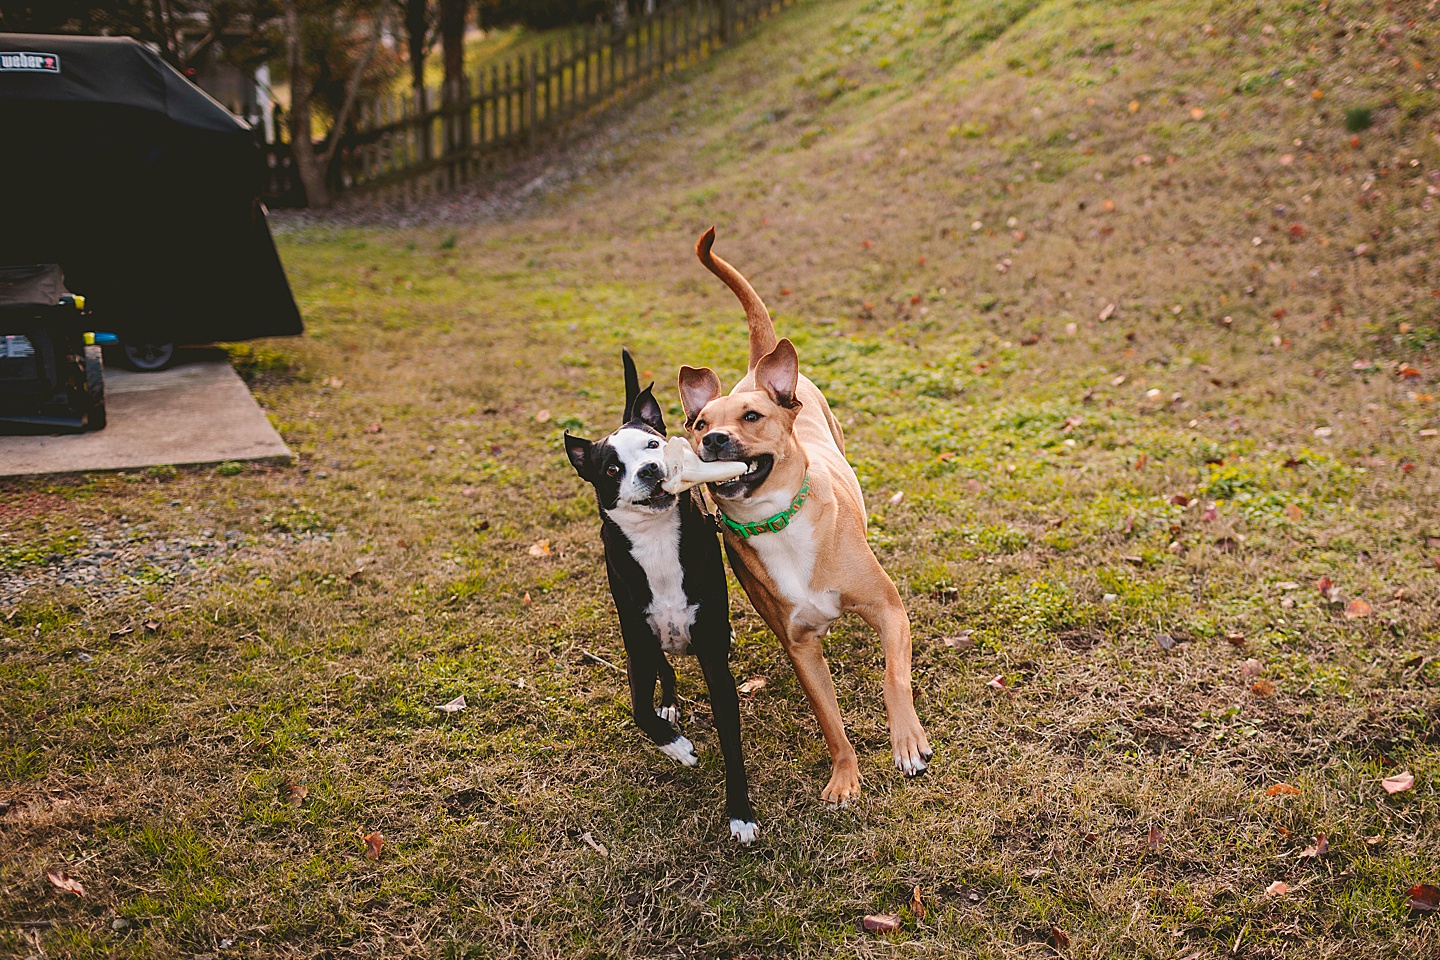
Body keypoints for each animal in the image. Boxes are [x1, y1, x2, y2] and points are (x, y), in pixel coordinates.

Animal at [564, 351, 760, 840]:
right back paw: (669, 705)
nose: (650, 470)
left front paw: (740, 813)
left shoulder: (713, 662)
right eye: (612, 469)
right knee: (664, 669)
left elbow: (731, 743)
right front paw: (676, 746)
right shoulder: (637, 644)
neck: (656, 541)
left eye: (653, 446)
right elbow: (639, 710)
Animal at [676, 227, 933, 805]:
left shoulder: (888, 609)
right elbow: (830, 721)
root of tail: (759, 368)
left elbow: (894, 678)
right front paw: (844, 776)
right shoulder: (799, 648)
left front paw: (907, 742)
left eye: (752, 417)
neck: (776, 521)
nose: (714, 440)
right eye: (699, 424)